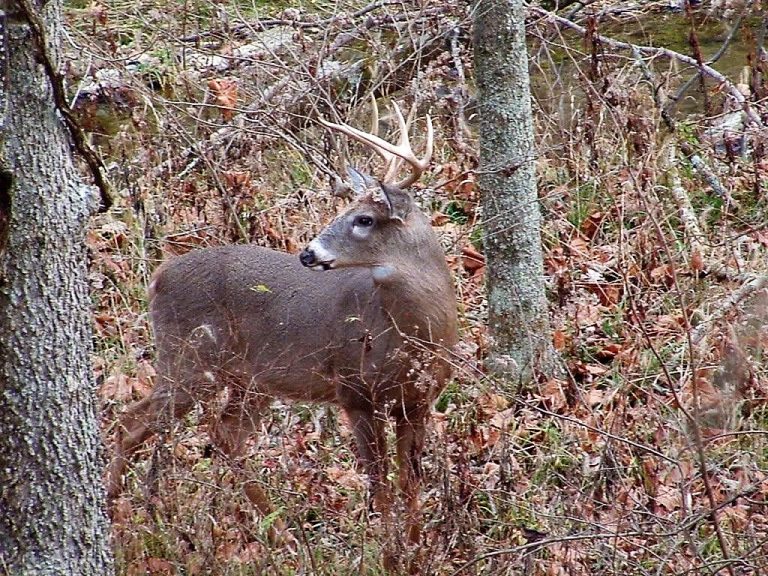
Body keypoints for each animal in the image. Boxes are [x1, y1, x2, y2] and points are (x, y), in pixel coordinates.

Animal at [106, 102, 458, 547]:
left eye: (363, 219)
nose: (307, 254)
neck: (416, 334)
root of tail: (158, 276)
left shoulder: (420, 400)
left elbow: (411, 482)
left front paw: (413, 547)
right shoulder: (354, 391)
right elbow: (380, 483)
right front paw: (390, 549)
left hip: (249, 379)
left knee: (225, 437)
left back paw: (280, 534)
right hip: (189, 358)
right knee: (130, 422)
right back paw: (112, 513)